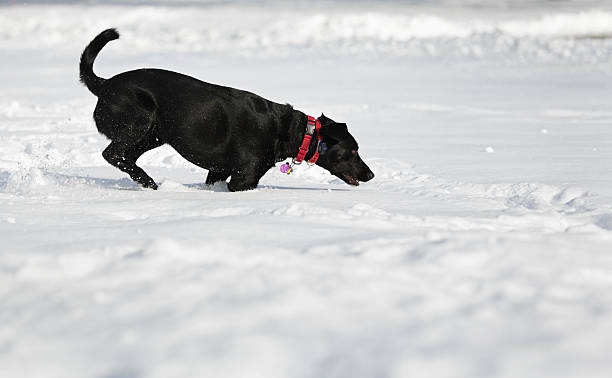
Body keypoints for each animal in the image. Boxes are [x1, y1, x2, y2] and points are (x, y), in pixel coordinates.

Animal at [77, 28, 372, 192]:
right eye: (353, 151)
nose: (370, 174)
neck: (288, 130)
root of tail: (104, 84)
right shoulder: (243, 179)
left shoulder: (218, 170)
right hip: (141, 120)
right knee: (111, 153)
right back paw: (148, 181)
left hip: (155, 134)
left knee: (123, 156)